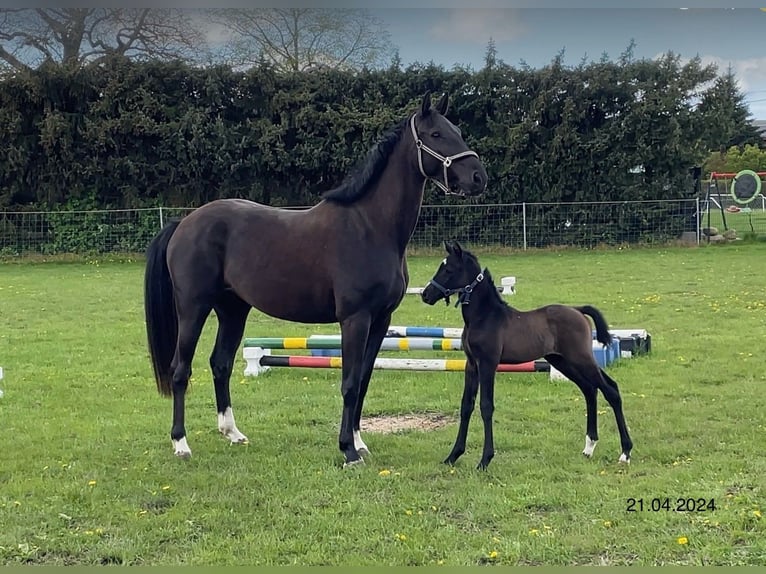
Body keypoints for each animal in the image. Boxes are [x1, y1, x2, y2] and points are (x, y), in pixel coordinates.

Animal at [143, 92, 488, 466]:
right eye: (436, 134)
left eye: (457, 131)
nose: (478, 176)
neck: (371, 227)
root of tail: (184, 222)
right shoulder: (355, 319)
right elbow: (349, 383)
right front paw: (348, 451)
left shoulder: (381, 320)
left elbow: (363, 380)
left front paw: (359, 442)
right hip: (193, 308)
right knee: (180, 370)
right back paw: (181, 443)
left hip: (233, 310)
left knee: (220, 364)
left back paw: (232, 433)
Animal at [420, 240, 633, 470]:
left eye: (449, 270)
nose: (425, 294)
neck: (484, 317)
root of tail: (578, 310)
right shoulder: (471, 365)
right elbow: (466, 405)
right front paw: (453, 455)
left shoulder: (488, 364)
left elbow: (486, 406)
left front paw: (485, 460)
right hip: (562, 361)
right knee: (589, 390)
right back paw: (589, 447)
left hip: (580, 358)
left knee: (610, 390)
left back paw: (625, 452)